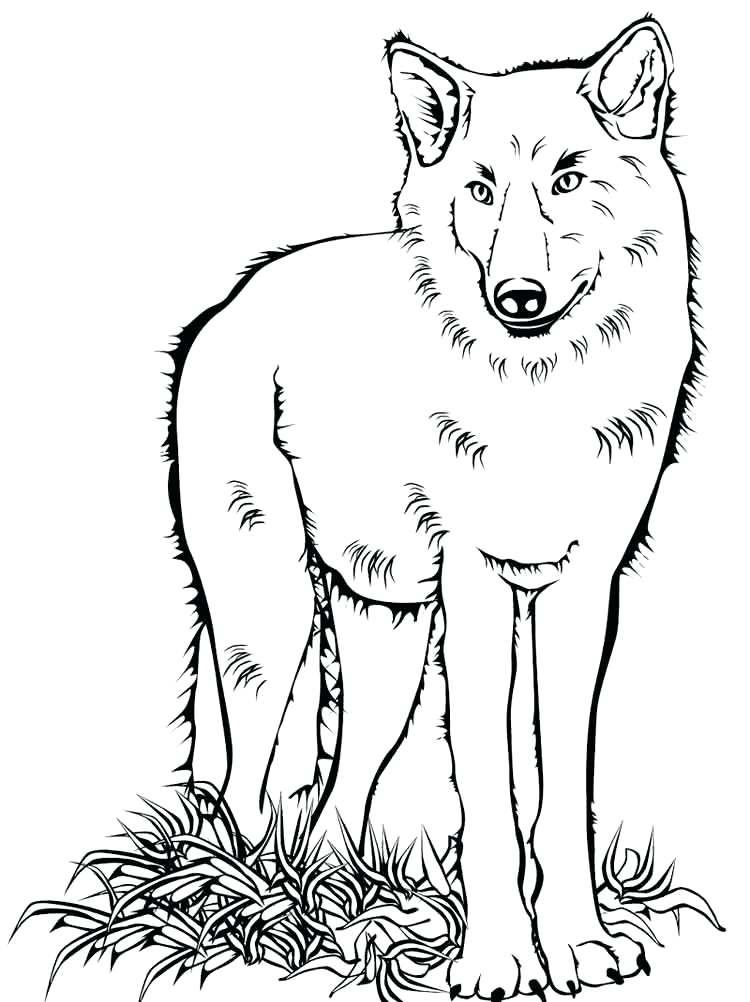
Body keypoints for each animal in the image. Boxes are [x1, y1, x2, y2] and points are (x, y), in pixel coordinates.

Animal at [168, 16, 699, 999]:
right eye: (480, 190)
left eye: (569, 179)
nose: (518, 297)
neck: (539, 399)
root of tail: (230, 304)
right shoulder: (480, 589)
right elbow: (489, 792)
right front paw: (498, 960)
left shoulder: (581, 594)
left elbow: (559, 788)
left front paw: (579, 946)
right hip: (273, 622)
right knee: (249, 789)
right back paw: (252, 917)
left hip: (391, 636)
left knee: (333, 799)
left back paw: (347, 915)